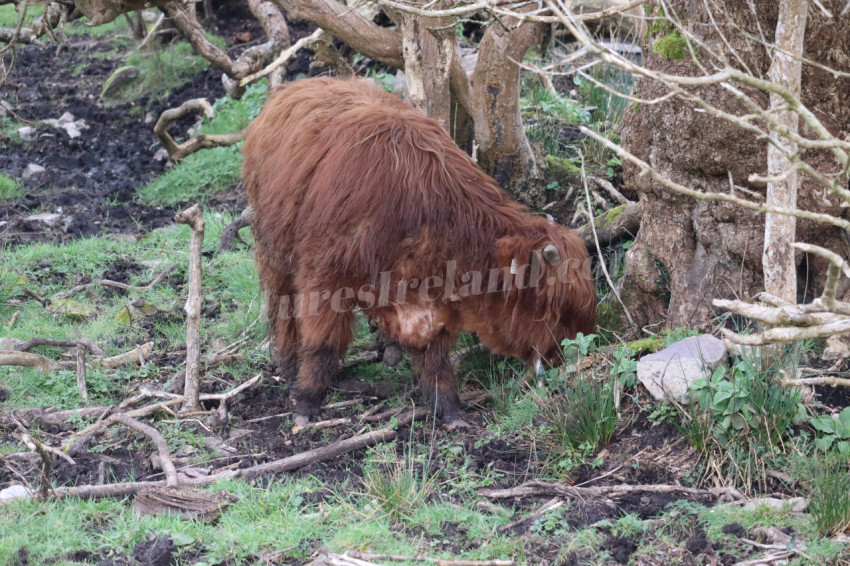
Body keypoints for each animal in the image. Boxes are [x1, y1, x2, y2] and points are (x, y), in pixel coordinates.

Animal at [242, 76, 592, 426]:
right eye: (554, 308)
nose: (565, 355)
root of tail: (297, 86)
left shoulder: (432, 301)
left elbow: (434, 357)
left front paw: (450, 409)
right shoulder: (326, 277)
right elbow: (323, 343)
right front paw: (306, 402)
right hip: (274, 253)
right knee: (282, 310)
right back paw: (290, 368)